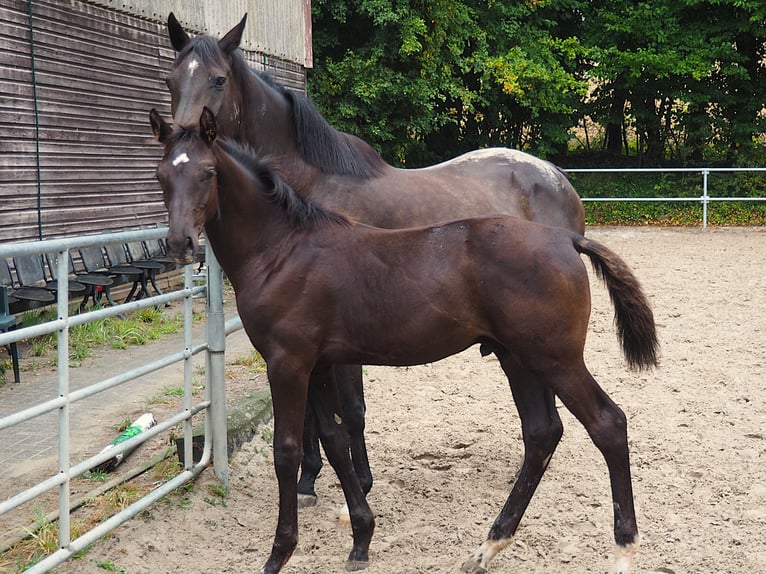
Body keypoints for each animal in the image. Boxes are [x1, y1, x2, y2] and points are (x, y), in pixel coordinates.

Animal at [150, 107, 658, 574]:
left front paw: (279, 554)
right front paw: (360, 539)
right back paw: (489, 546)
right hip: (519, 358)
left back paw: (622, 552)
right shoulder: (319, 363)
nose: (179, 244)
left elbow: (287, 452)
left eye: (208, 172)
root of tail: (565, 239)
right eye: (161, 174)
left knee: (608, 424)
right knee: (541, 433)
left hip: (555, 359)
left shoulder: (288, 363)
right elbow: (334, 440)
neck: (283, 250)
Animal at [163, 13, 587, 508]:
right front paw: (309, 479)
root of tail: (555, 178)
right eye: (172, 78)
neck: (310, 187)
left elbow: (350, 410)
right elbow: (314, 413)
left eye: (218, 79)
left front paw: (359, 482)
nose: (182, 137)